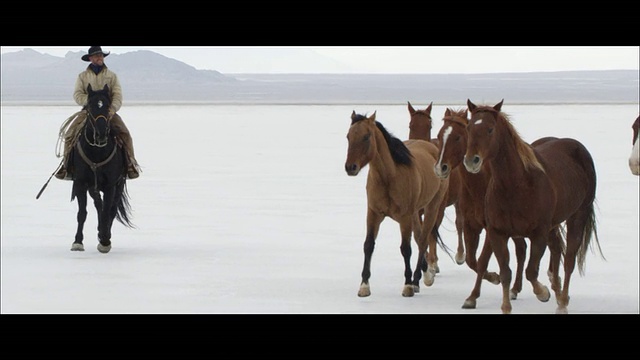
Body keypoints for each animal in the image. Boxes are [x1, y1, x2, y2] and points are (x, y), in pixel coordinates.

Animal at [344, 111, 450, 296]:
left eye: (366, 136)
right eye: (348, 136)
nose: (350, 167)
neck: (389, 177)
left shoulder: (404, 217)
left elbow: (406, 249)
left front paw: (408, 285)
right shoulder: (373, 213)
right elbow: (368, 245)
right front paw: (364, 286)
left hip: (432, 207)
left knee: (423, 240)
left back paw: (420, 279)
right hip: (415, 213)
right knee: (419, 237)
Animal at [410, 100, 464, 266]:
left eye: (429, 125)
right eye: (411, 125)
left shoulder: (437, 207)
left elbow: (430, 233)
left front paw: (432, 263)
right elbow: (421, 233)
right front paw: (426, 260)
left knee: (459, 222)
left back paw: (460, 255)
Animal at [462, 100, 604, 314]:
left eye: (490, 129)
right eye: (469, 128)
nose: (472, 161)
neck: (516, 185)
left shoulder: (539, 234)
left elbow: (531, 271)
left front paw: (543, 293)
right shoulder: (497, 233)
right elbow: (506, 272)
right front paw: (506, 306)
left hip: (577, 216)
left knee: (569, 260)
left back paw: (562, 301)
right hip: (554, 225)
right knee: (557, 249)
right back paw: (559, 292)